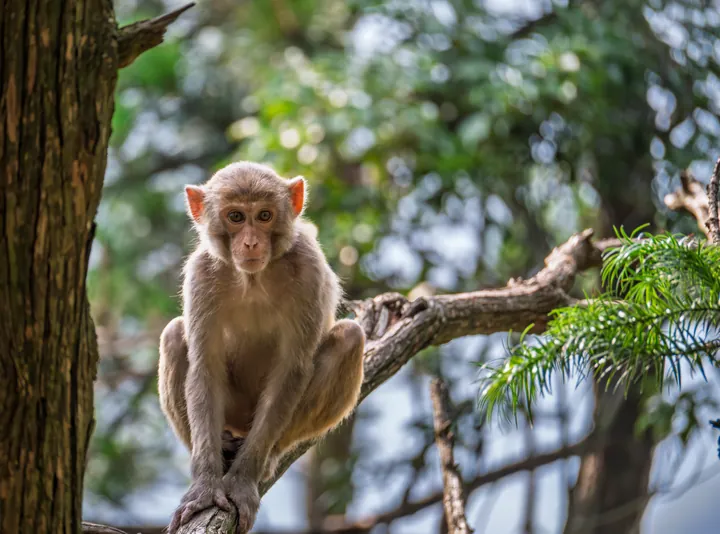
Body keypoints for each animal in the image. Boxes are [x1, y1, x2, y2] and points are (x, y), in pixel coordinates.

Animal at [157, 162, 366, 533]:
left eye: (265, 216)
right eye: (236, 217)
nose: (251, 242)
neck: (253, 278)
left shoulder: (309, 271)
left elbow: (292, 370)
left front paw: (242, 482)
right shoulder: (201, 275)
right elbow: (204, 367)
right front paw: (205, 486)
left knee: (350, 338)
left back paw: (268, 457)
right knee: (173, 335)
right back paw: (224, 445)